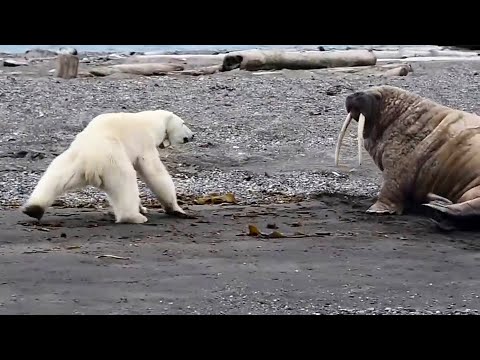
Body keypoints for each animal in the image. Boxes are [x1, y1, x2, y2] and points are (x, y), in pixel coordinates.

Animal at [20, 108, 196, 224]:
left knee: (53, 179)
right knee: (126, 182)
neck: (149, 122)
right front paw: (176, 209)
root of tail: (89, 163)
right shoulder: (143, 142)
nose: (193, 135)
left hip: (70, 162)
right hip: (113, 161)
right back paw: (134, 217)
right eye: (183, 123)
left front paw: (143, 207)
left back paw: (33, 209)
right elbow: (154, 172)